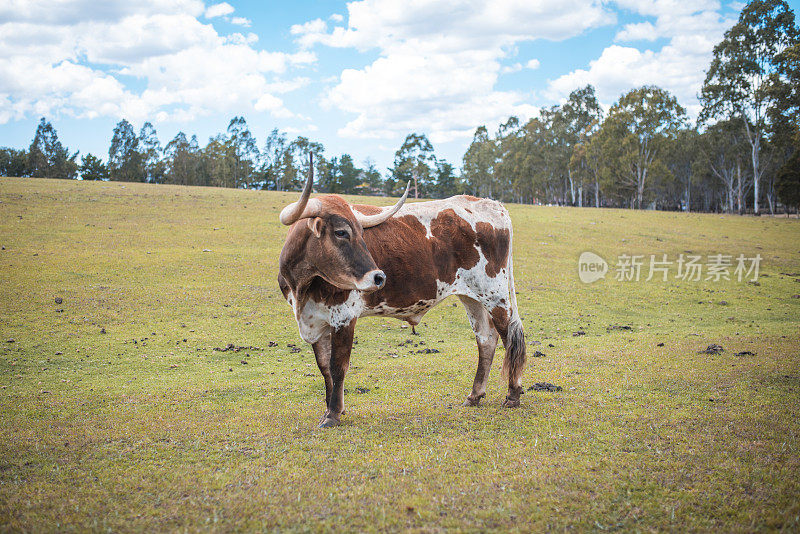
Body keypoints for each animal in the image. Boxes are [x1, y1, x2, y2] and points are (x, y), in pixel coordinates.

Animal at [276, 161, 524, 430]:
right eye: (341, 232)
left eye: (362, 232)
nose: (378, 277)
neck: (303, 286)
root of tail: (492, 204)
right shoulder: (315, 320)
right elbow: (324, 368)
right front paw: (331, 410)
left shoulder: (343, 317)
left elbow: (337, 366)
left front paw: (333, 414)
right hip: (472, 297)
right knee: (486, 339)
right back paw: (475, 395)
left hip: (495, 295)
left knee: (509, 337)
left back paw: (513, 395)